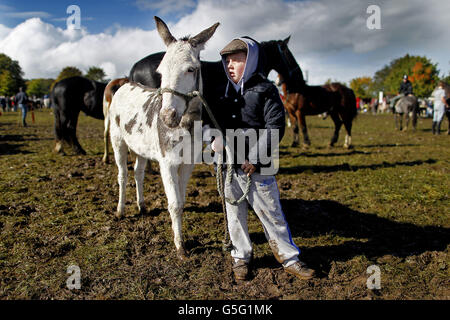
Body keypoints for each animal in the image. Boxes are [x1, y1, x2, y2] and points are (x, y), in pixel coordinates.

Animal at [107, 16, 220, 258]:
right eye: (160, 72)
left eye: (191, 69)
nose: (167, 116)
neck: (185, 125)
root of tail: (125, 83)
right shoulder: (167, 163)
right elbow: (174, 203)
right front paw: (180, 247)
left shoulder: (187, 163)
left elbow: (182, 200)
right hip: (117, 140)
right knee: (123, 174)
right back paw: (121, 211)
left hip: (140, 147)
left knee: (138, 172)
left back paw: (141, 206)